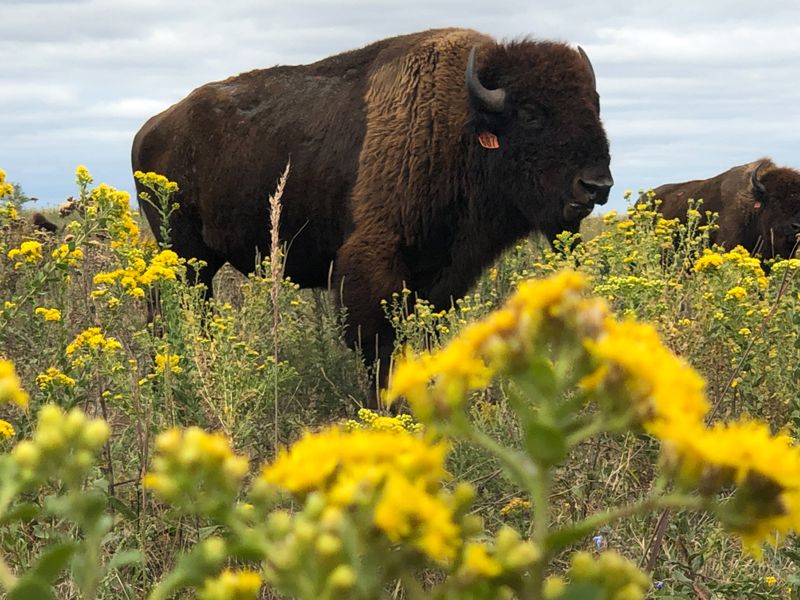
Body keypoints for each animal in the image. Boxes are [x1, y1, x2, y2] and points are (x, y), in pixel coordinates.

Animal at [133, 27, 612, 384]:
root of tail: (151, 128)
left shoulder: (443, 274)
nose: (596, 185)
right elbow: (379, 346)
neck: (460, 125)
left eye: (595, 107)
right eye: (531, 113)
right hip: (185, 253)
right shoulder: (373, 264)